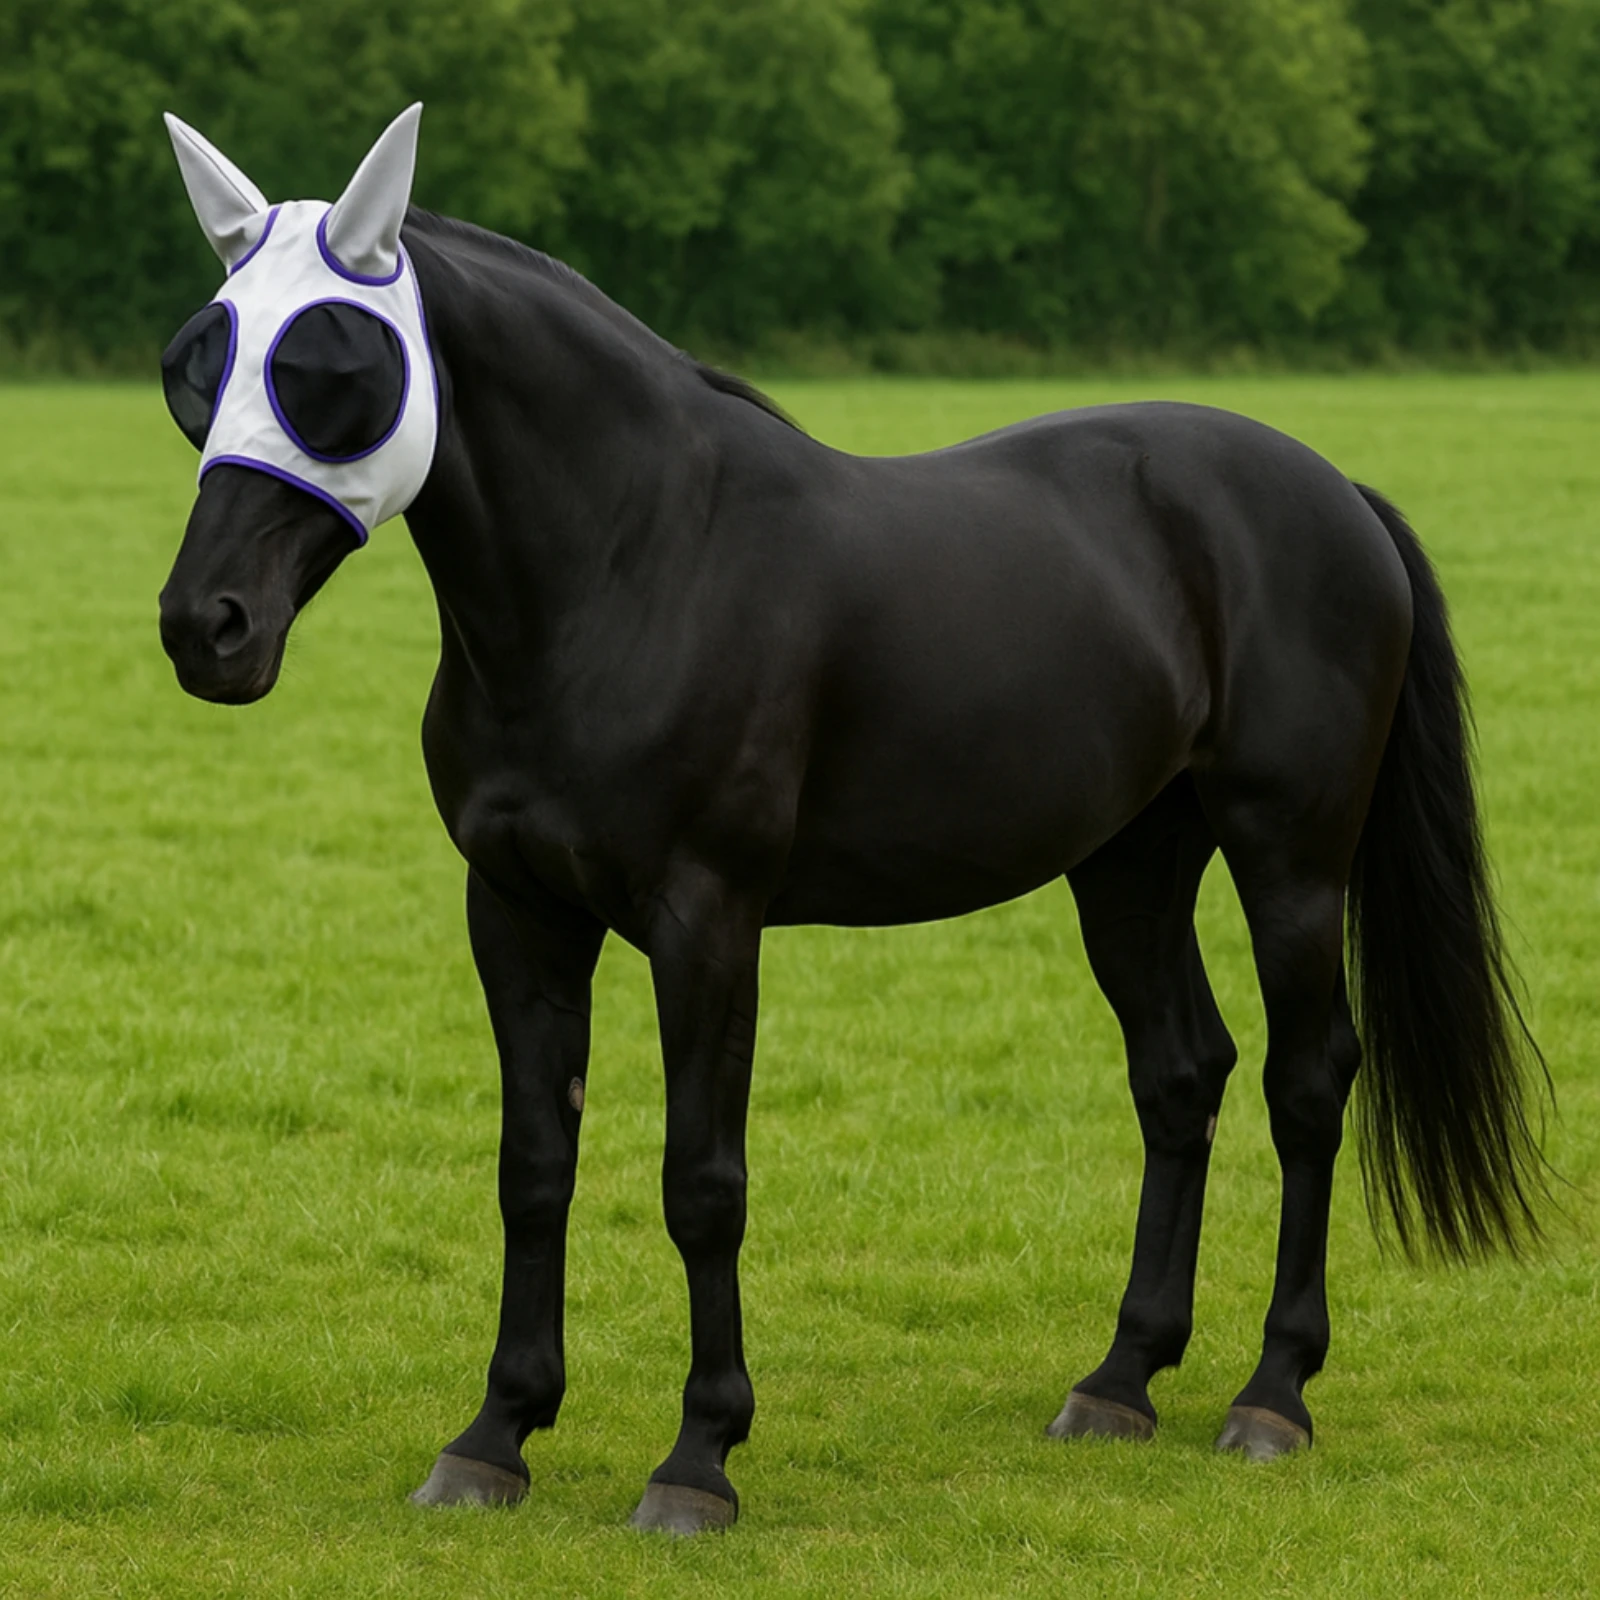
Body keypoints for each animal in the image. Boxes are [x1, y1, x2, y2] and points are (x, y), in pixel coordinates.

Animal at [155, 107, 1547, 1534]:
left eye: (332, 362)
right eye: (195, 364)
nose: (208, 626)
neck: (631, 567)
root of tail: (1335, 493)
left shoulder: (707, 920)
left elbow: (702, 1183)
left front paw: (698, 1456)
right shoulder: (519, 910)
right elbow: (533, 1164)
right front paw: (496, 1435)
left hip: (1291, 859)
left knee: (1305, 1079)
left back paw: (1273, 1394)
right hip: (1131, 863)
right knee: (1179, 1075)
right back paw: (1119, 1378)